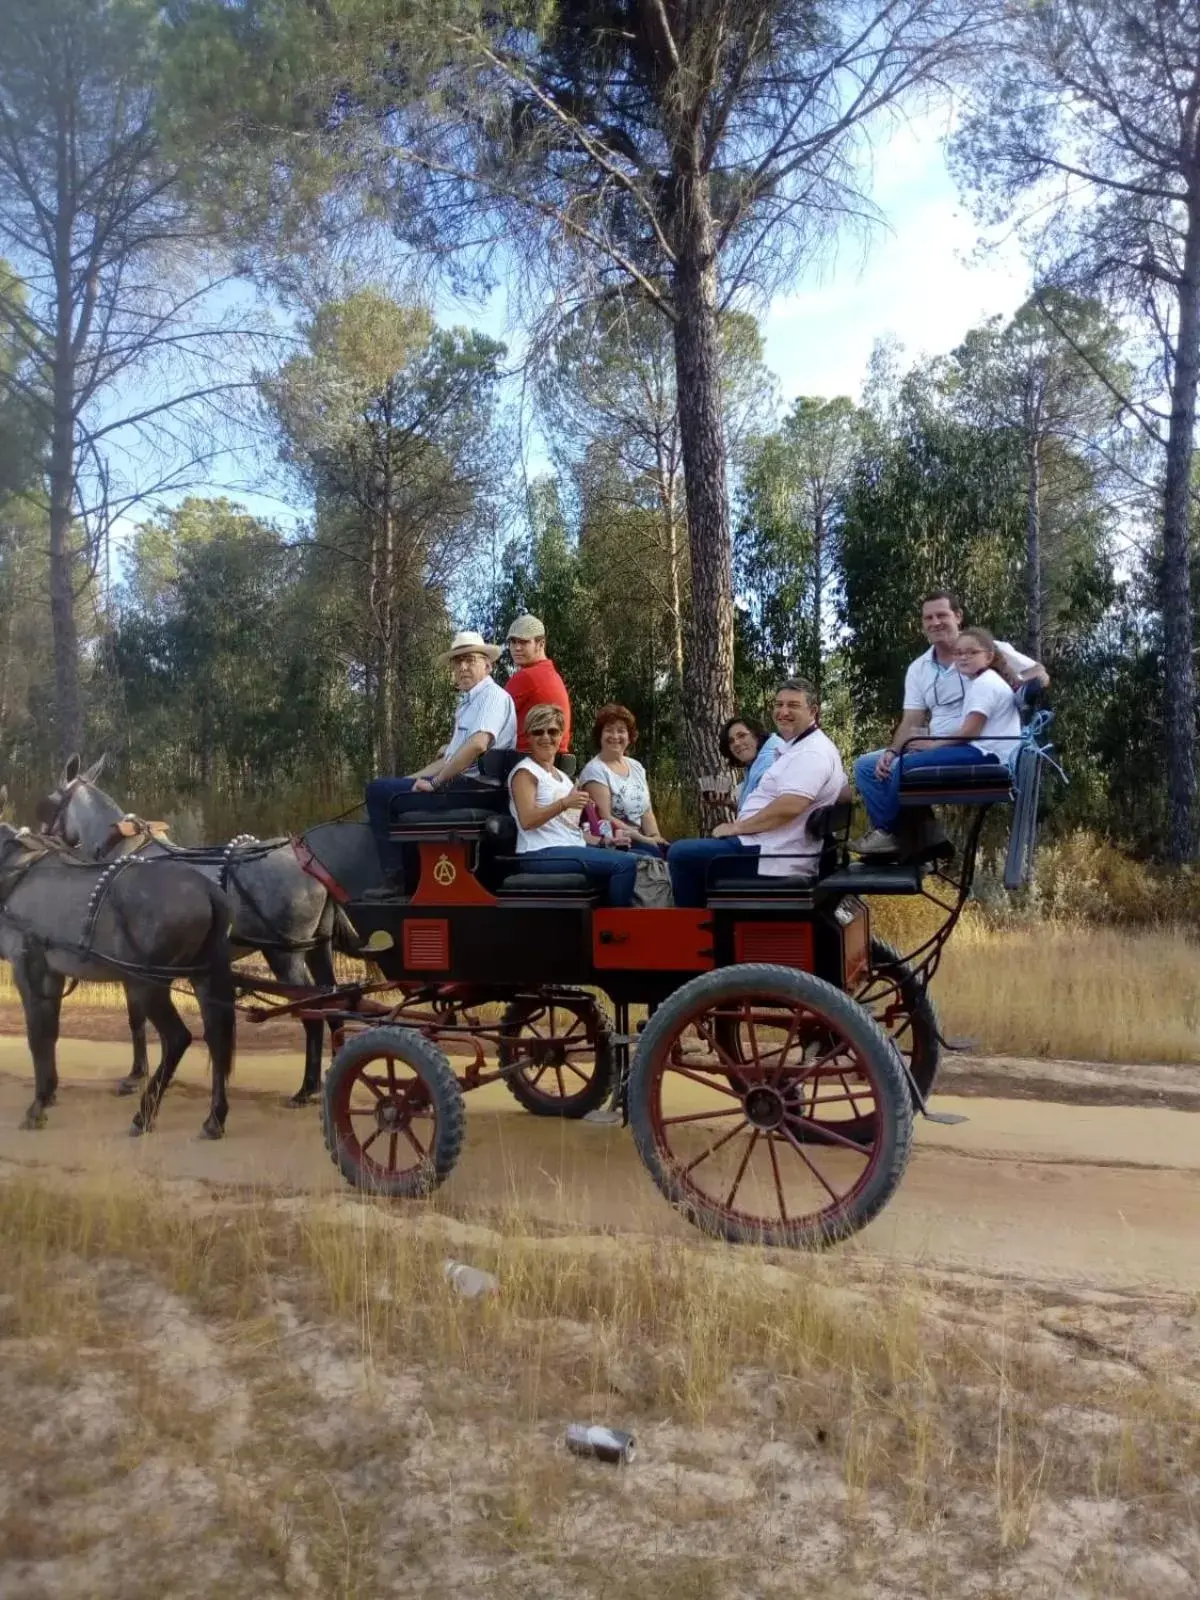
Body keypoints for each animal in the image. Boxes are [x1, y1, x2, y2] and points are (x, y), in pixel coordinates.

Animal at [0, 825, 236, 1139]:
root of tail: (209, 891)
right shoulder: (52, 973)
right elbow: (49, 1033)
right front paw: (48, 1094)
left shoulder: (28, 967)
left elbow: (37, 1036)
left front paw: (37, 1107)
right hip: (203, 978)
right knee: (217, 1039)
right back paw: (214, 1119)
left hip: (147, 984)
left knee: (177, 1038)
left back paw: (144, 1114)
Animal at [37, 755, 347, 1107]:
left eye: (48, 804)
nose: (39, 838)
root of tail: (311, 866)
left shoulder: (132, 966)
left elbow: (135, 1018)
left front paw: (135, 1075)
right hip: (317, 948)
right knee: (333, 1001)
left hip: (284, 953)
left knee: (311, 1010)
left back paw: (307, 1088)